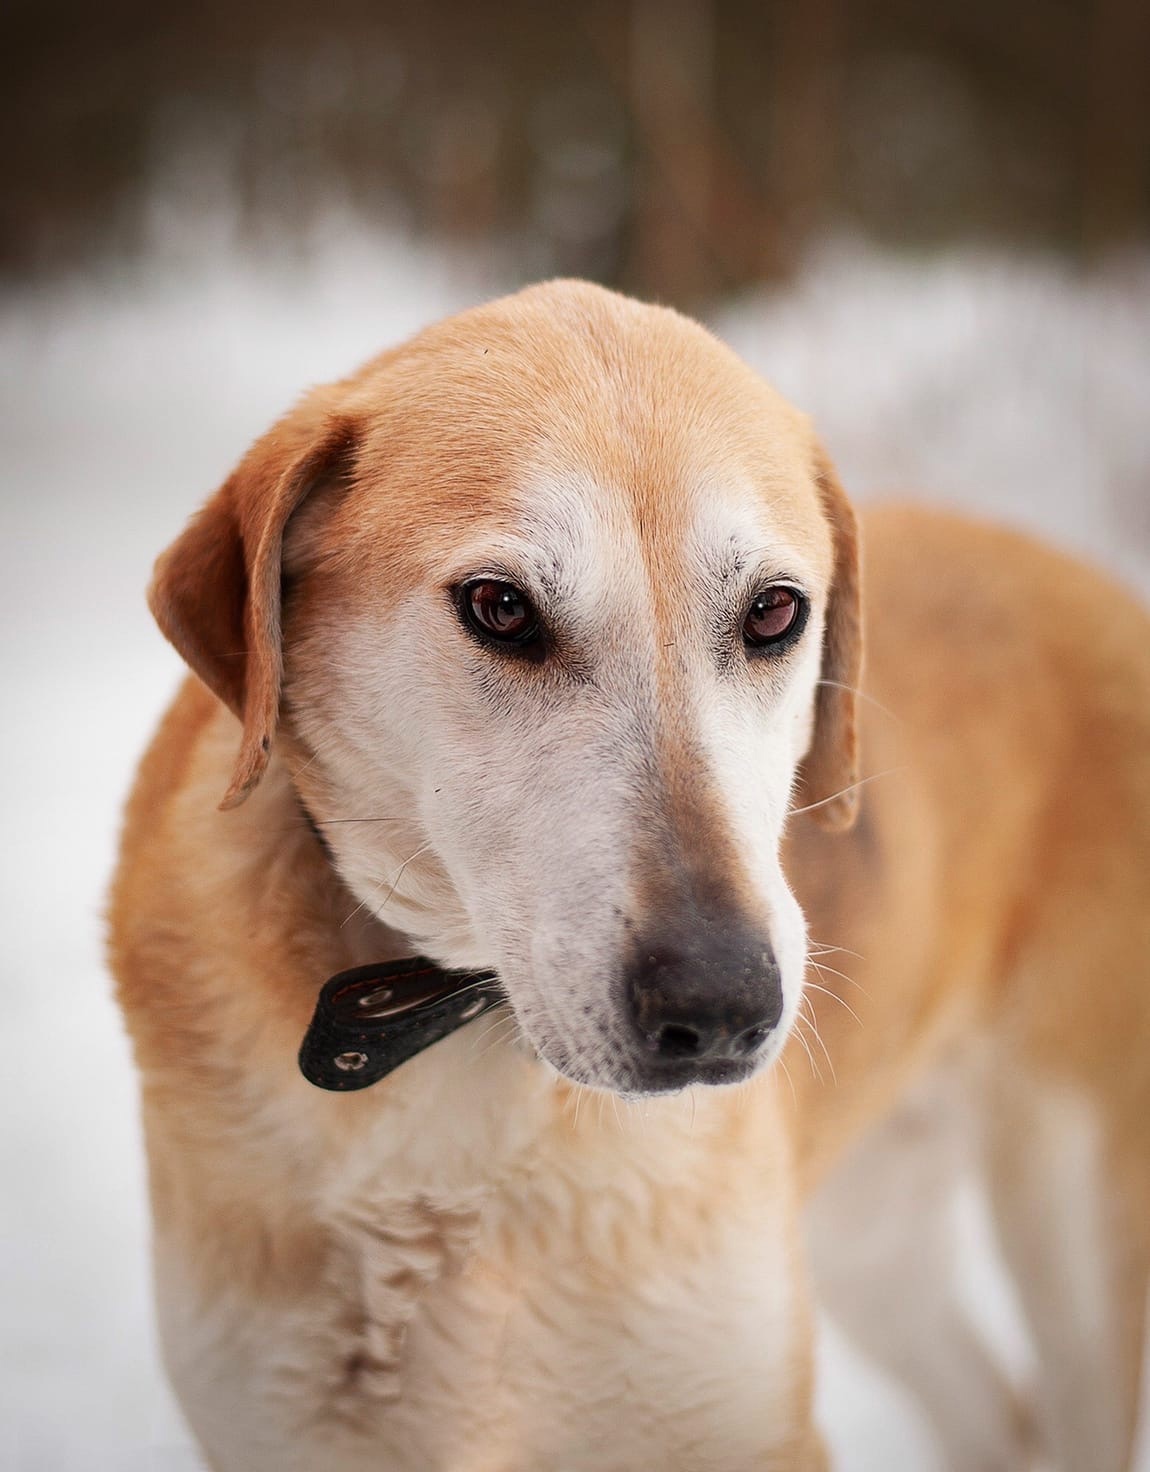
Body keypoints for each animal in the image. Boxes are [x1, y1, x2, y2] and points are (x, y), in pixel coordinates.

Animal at [109, 278, 1148, 1472]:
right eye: (500, 606)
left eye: (774, 611)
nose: (723, 1008)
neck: (463, 1067)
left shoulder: (739, 1418)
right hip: (873, 1237)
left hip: (1071, 1212)